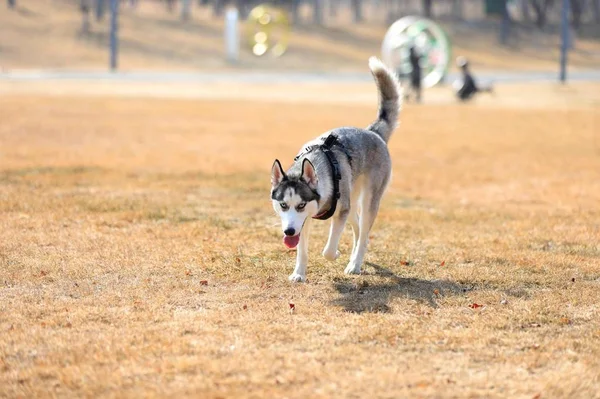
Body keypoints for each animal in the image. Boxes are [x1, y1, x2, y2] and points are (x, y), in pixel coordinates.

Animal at [270, 57, 400, 284]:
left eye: (301, 204)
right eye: (284, 205)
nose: (289, 231)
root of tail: (373, 132)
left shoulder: (339, 211)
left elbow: (328, 250)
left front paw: (335, 253)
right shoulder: (304, 221)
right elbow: (302, 250)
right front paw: (299, 273)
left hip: (367, 200)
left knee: (364, 232)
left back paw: (355, 264)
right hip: (352, 196)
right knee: (358, 228)